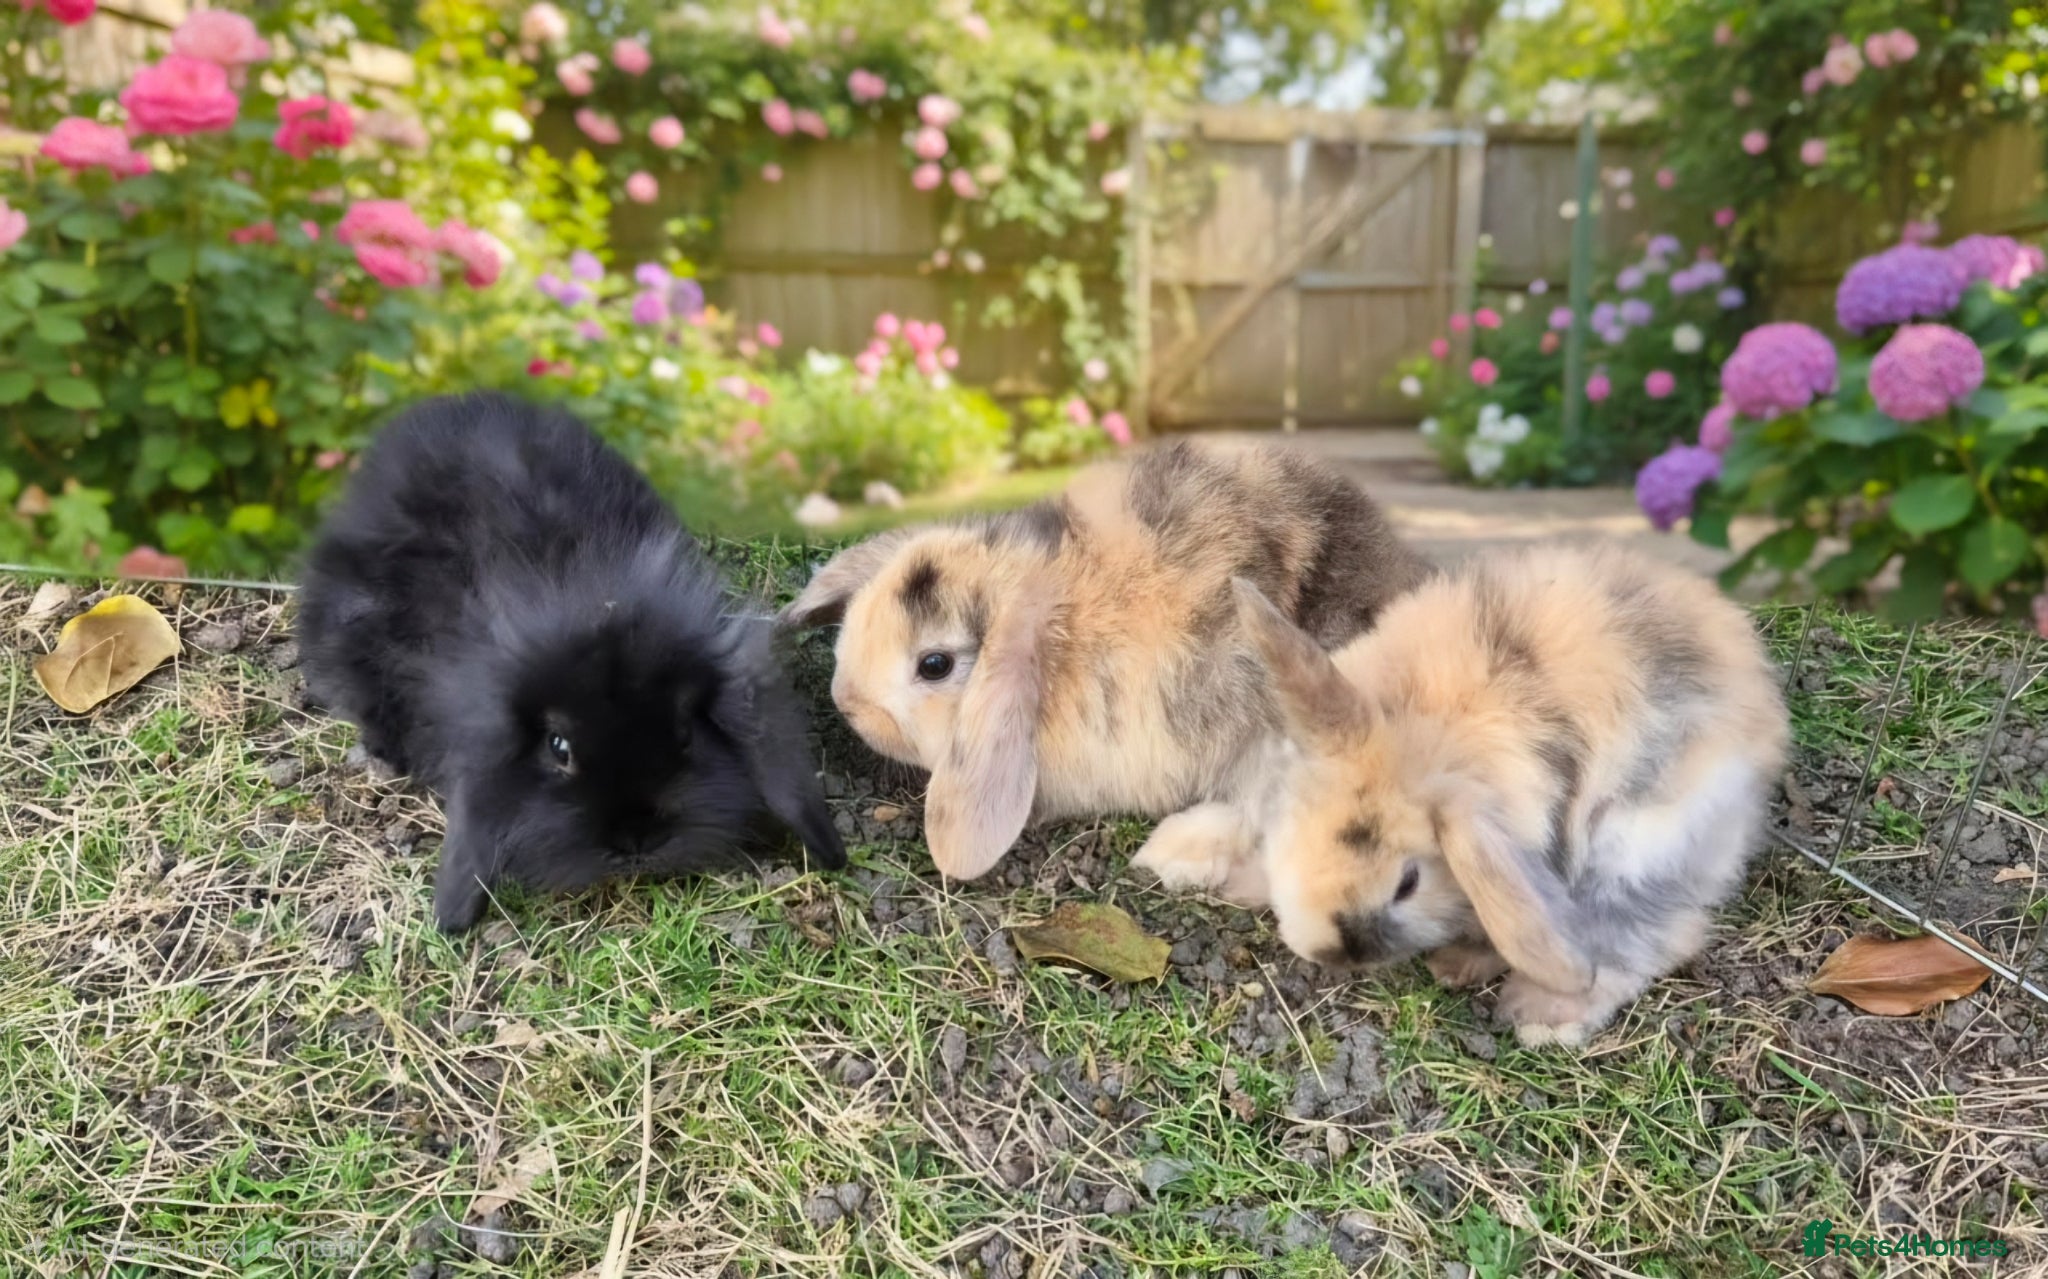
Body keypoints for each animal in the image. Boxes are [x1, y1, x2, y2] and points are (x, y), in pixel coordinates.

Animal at [1196, 542, 1788, 1046]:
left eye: (1408, 882)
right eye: (1293, 826)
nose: (1330, 952)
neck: (1431, 724)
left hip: (1637, 846)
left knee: (1654, 932)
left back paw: (1531, 1010)